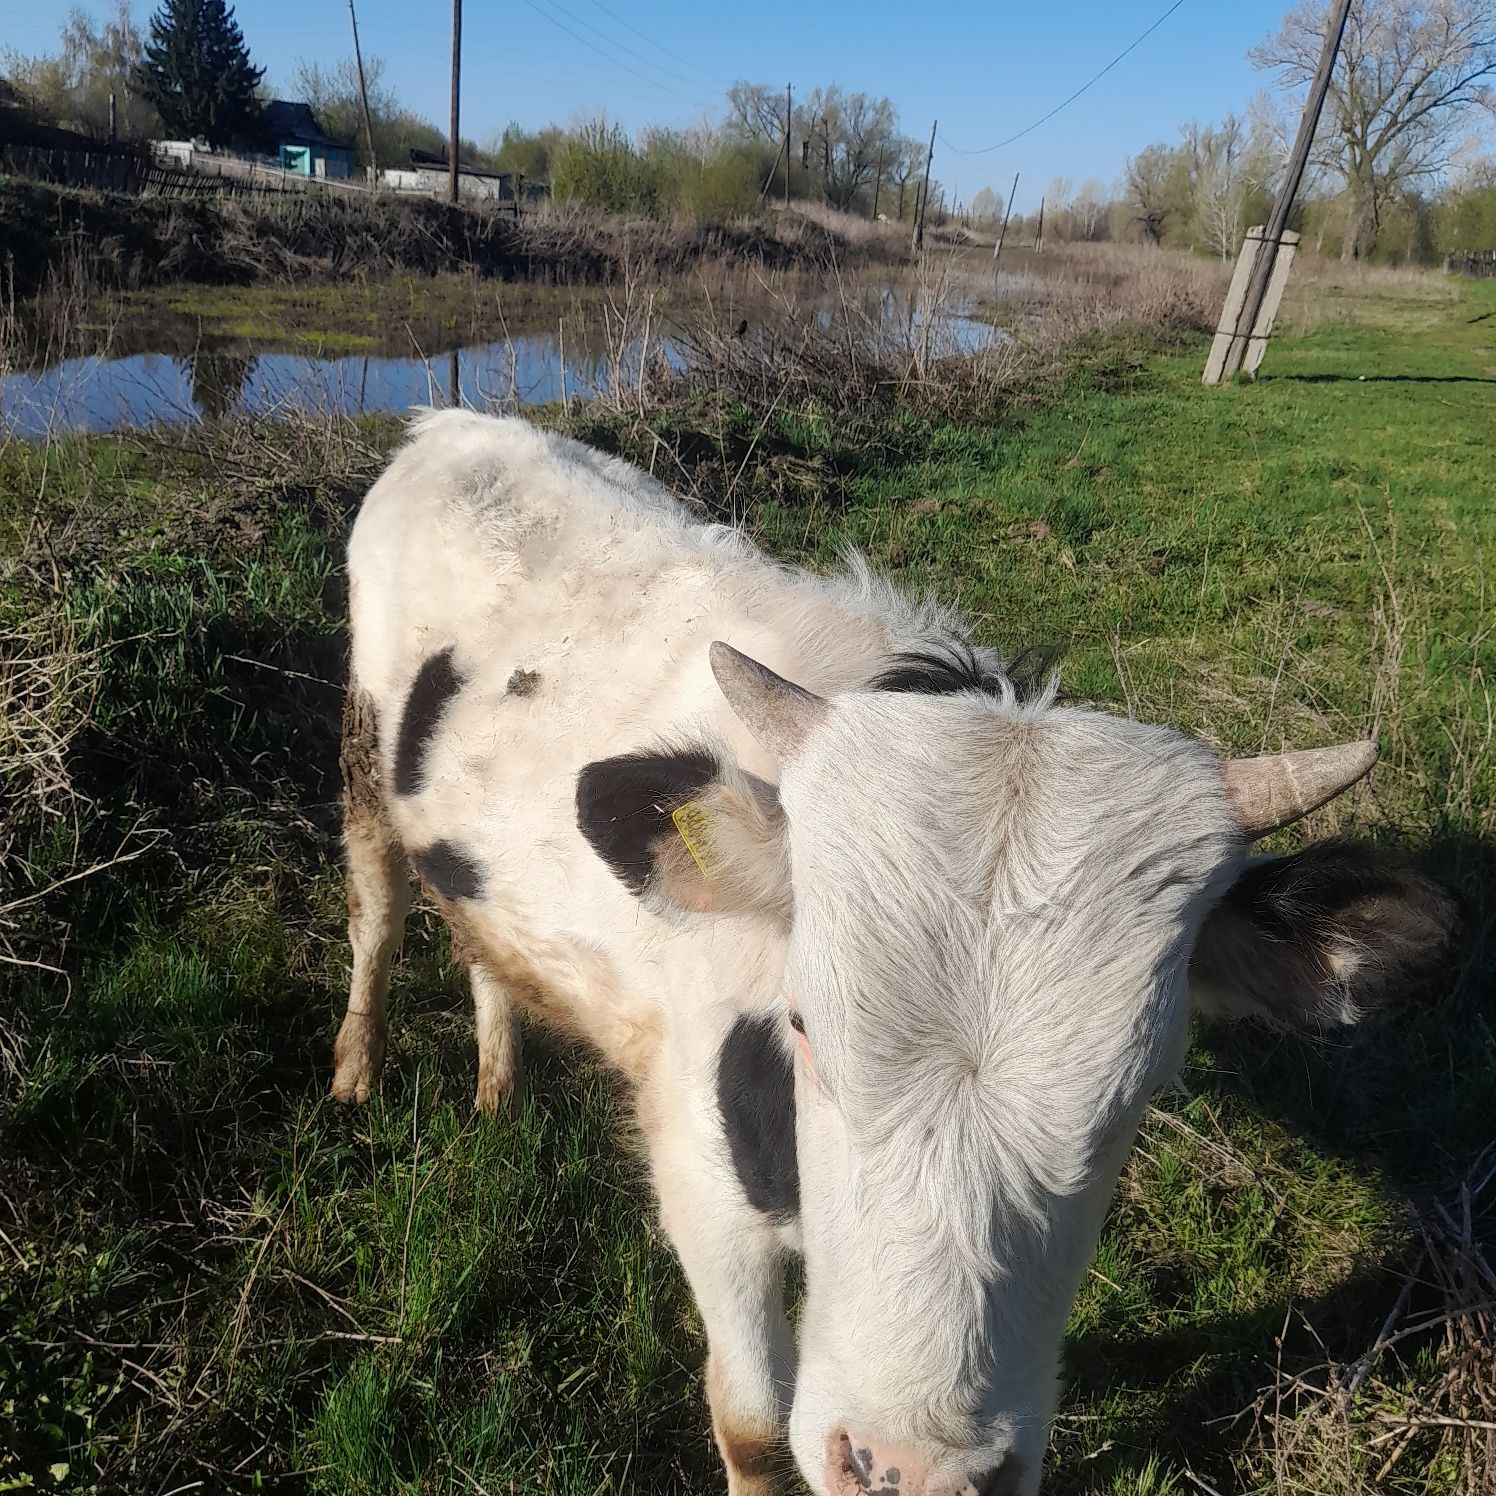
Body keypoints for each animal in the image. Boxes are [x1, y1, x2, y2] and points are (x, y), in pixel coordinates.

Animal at [333, 409, 1454, 1496]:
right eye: (802, 1024)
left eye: (1142, 1088)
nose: (911, 1469)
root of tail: (449, 425)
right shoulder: (695, 1178)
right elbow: (751, 1426)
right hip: (362, 753)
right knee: (378, 908)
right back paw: (357, 1070)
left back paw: (497, 1082)